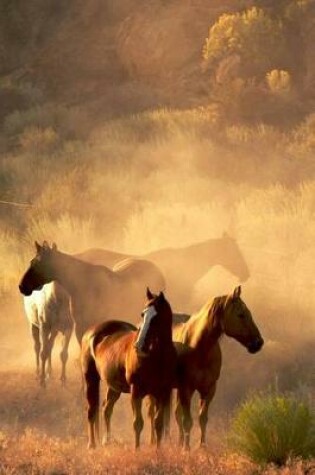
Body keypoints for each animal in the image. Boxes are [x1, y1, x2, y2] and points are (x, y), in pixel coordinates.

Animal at [19, 244, 168, 344]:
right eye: (31, 262)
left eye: (38, 264)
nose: (21, 286)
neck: (82, 286)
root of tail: (158, 271)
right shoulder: (80, 328)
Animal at [81, 290, 178, 450]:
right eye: (142, 314)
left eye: (156, 316)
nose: (139, 346)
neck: (157, 357)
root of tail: (91, 333)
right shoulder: (136, 391)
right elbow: (138, 423)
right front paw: (137, 450)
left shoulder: (162, 392)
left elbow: (158, 423)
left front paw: (158, 450)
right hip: (91, 380)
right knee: (91, 410)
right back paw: (92, 445)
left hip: (114, 387)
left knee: (106, 409)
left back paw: (107, 440)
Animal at [148, 284, 264, 452]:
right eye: (241, 314)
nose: (258, 342)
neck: (199, 347)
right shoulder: (186, 389)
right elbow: (187, 420)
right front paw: (186, 449)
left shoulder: (209, 389)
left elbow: (202, 418)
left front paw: (201, 447)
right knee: (154, 414)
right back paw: (154, 443)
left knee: (172, 414)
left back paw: (174, 442)